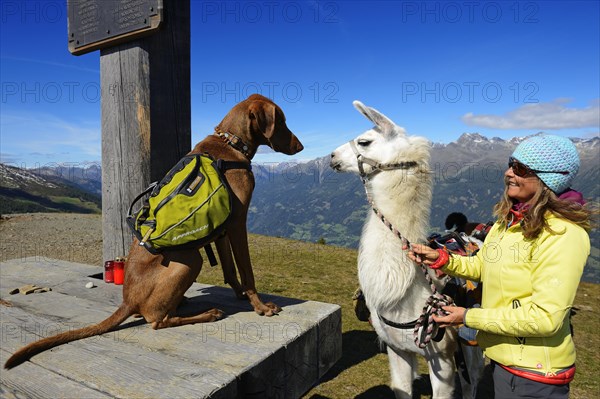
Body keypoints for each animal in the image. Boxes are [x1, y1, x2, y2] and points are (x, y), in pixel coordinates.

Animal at [3, 93, 304, 368]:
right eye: (282, 121)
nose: (301, 146)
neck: (231, 143)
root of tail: (128, 300)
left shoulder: (223, 229)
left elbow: (230, 271)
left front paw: (240, 295)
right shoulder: (238, 223)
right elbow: (247, 272)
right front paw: (261, 306)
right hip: (190, 261)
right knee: (157, 320)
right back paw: (207, 313)